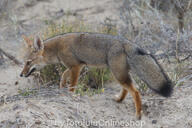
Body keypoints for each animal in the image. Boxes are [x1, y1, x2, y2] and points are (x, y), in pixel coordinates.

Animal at [20, 31, 173, 119]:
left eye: (28, 62)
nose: (21, 75)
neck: (57, 48)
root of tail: (128, 43)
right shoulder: (76, 65)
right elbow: (63, 74)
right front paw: (62, 85)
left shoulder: (76, 66)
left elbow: (72, 85)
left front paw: (69, 95)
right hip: (119, 74)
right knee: (128, 88)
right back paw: (119, 100)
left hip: (117, 74)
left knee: (135, 91)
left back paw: (138, 114)